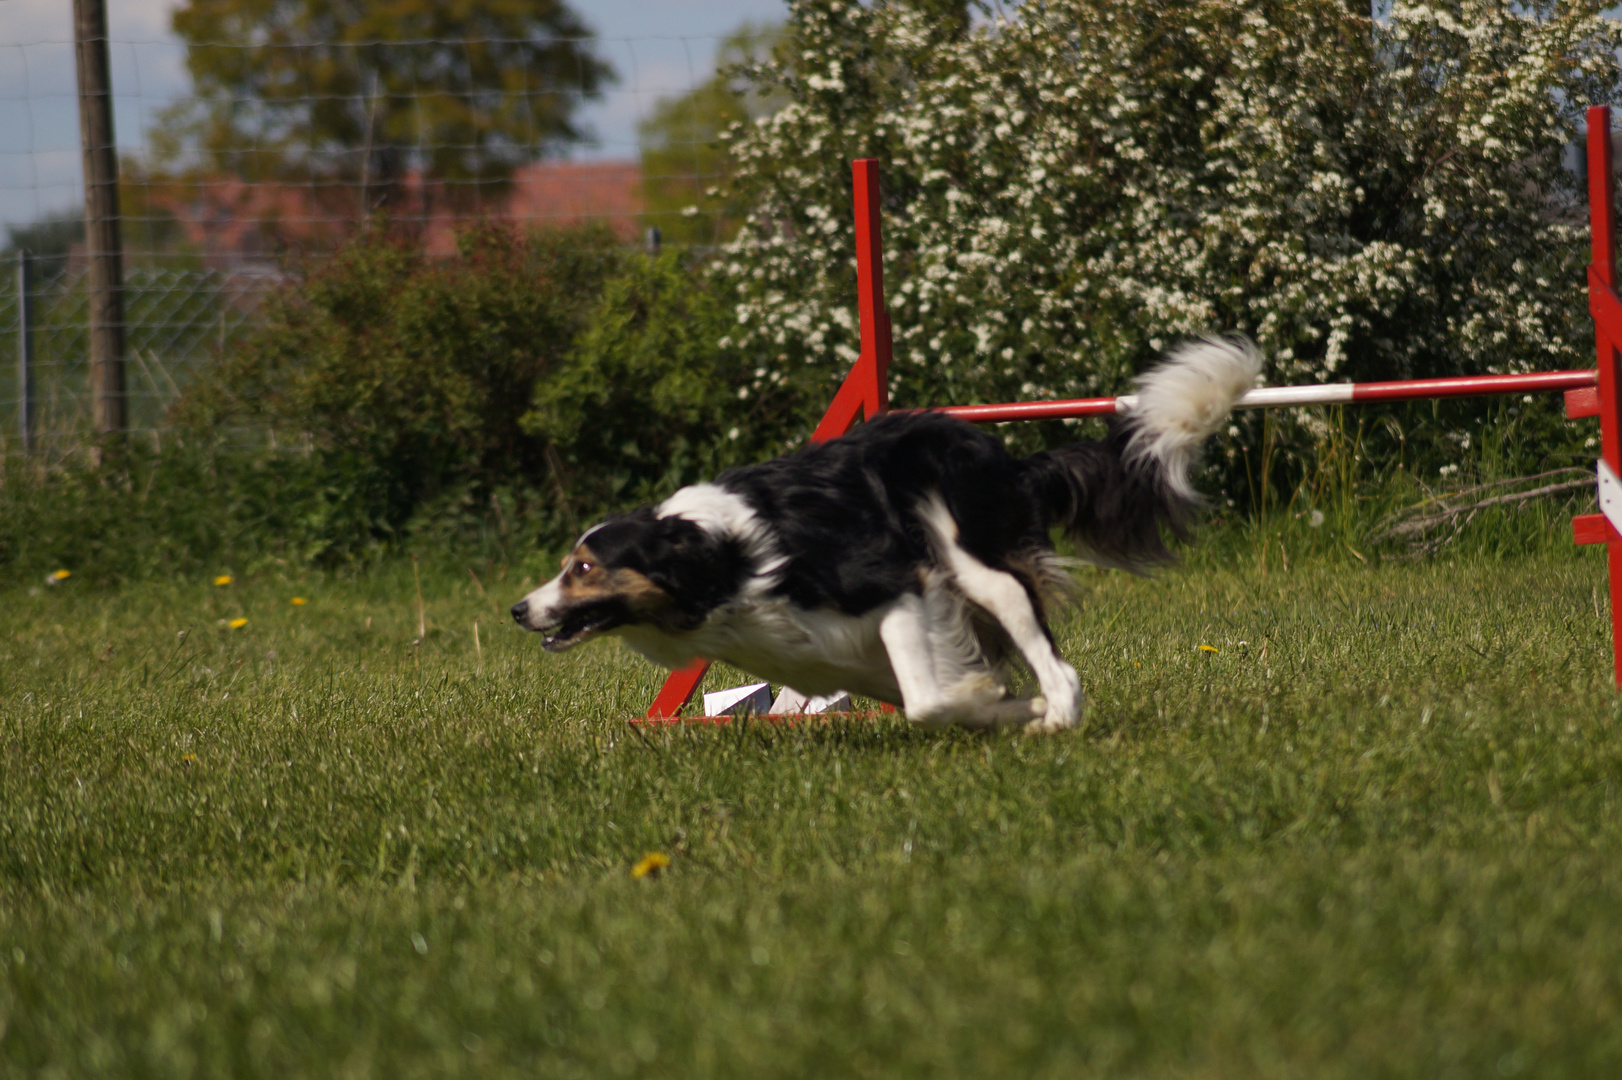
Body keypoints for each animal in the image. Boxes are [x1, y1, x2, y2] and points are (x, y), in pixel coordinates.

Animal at [512, 337, 1258, 732]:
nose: (518, 609)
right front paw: (1002, 705)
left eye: (584, 567)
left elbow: (929, 702)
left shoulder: (897, 588)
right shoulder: (828, 655)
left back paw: (1059, 713)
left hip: (977, 562)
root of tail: (1011, 459)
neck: (724, 561)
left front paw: (1005, 706)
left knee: (1052, 655)